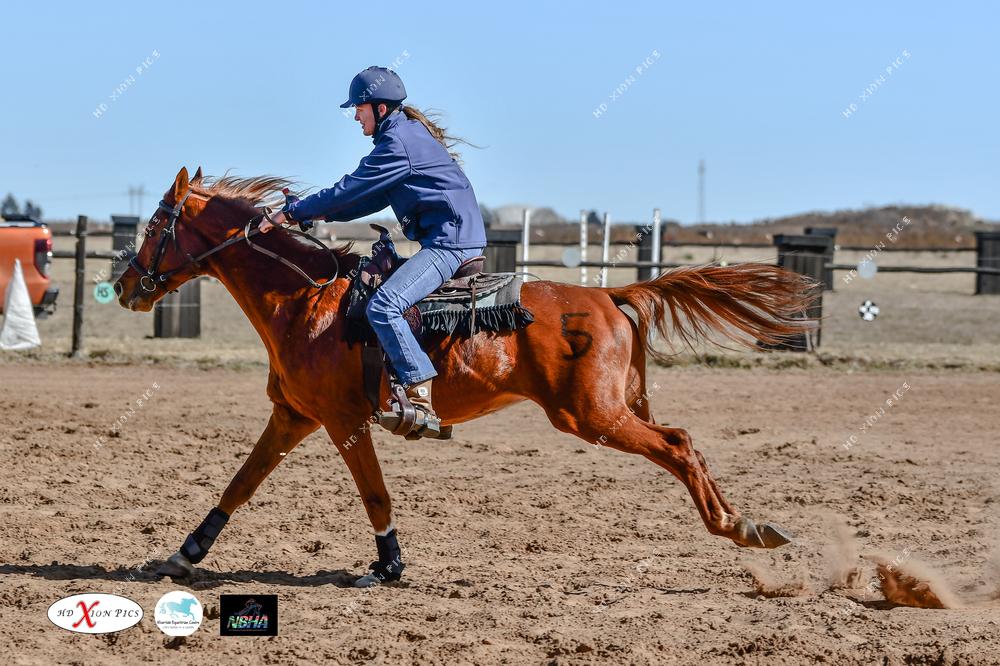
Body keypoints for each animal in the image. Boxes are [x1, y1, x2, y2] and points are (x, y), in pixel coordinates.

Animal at [117, 166, 816, 588]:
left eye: (154, 226)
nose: (125, 285)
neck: (306, 301)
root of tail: (611, 294)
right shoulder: (292, 417)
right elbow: (241, 483)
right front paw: (185, 553)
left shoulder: (344, 422)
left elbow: (374, 494)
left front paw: (388, 567)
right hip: (612, 409)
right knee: (683, 441)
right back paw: (747, 525)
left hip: (592, 415)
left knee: (678, 446)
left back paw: (736, 529)